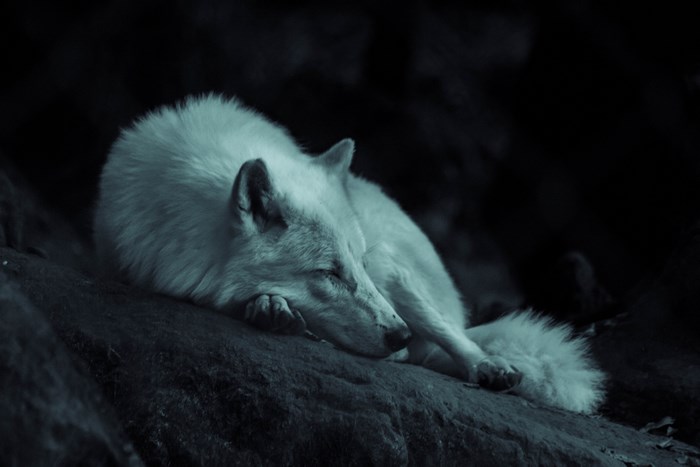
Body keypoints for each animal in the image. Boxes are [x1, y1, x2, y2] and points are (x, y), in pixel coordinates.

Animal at [94, 94, 605, 413]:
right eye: (330, 273)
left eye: (355, 265)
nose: (398, 334)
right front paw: (271, 308)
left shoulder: (377, 269)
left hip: (398, 273)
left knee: (451, 336)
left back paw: (487, 366)